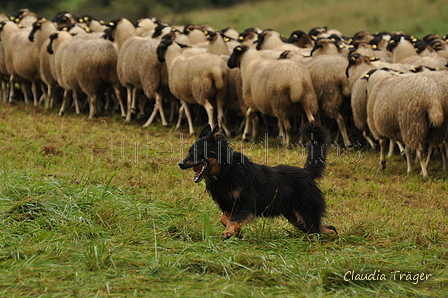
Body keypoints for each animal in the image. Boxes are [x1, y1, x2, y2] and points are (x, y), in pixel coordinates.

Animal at [178, 123, 336, 240]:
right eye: (189, 150)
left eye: (198, 151)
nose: (180, 164)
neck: (226, 170)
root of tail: (306, 172)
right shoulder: (228, 205)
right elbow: (225, 220)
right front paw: (237, 232)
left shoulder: (246, 204)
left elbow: (233, 219)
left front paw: (229, 232)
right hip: (296, 218)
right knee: (327, 228)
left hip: (305, 214)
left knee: (316, 230)